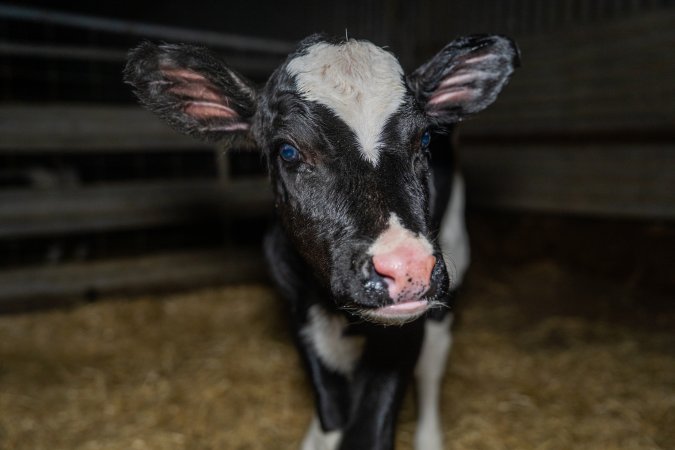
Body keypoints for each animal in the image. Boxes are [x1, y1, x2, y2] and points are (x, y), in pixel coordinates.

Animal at [124, 33, 518, 450]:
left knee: (434, 359)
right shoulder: (297, 307)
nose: (407, 267)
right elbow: (331, 408)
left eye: (424, 138)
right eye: (288, 151)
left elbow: (369, 427)